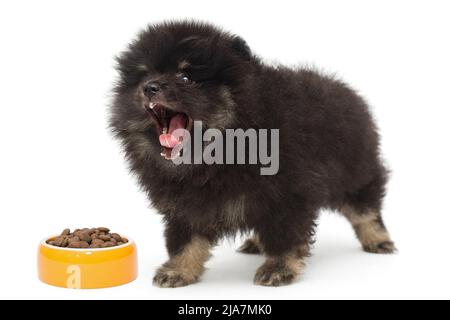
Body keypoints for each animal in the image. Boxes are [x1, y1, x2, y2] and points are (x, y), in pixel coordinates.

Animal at [110, 20, 396, 288]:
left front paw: (278, 268)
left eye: (185, 78)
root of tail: (349, 93)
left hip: (356, 171)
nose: (150, 87)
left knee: (366, 208)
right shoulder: (183, 204)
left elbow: (284, 237)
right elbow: (183, 240)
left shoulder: (288, 195)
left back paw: (378, 239)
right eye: (144, 75)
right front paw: (178, 270)